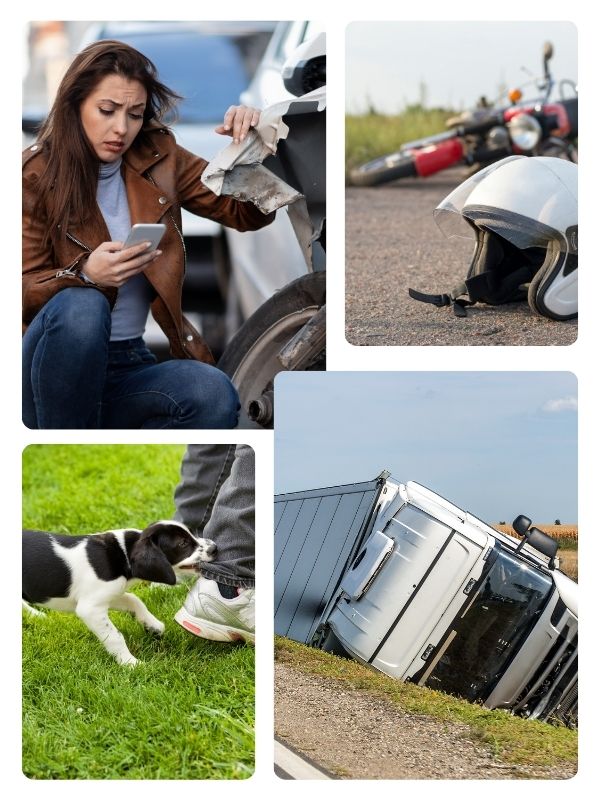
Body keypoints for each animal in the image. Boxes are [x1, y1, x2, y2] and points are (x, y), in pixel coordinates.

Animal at [22, 520, 217, 664]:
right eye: (183, 544)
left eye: (192, 533)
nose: (215, 547)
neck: (124, 553)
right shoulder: (90, 608)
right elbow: (115, 637)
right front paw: (130, 663)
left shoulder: (110, 594)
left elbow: (134, 600)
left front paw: (153, 625)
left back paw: (35, 615)